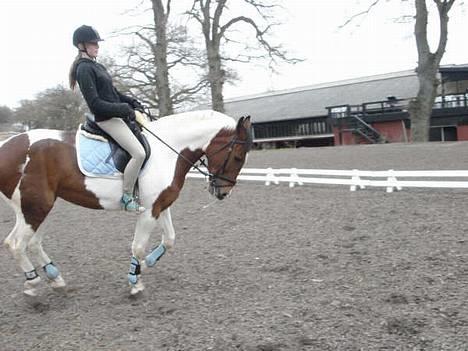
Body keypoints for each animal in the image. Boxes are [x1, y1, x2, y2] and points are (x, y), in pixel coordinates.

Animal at [0, 111, 252, 298]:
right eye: (238, 156)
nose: (223, 192)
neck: (168, 150)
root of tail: (6, 145)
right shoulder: (149, 210)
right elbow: (138, 246)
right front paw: (135, 281)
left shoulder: (161, 204)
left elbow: (169, 239)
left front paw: (147, 264)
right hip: (35, 207)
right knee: (16, 244)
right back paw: (32, 283)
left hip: (38, 208)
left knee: (33, 243)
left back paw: (55, 278)